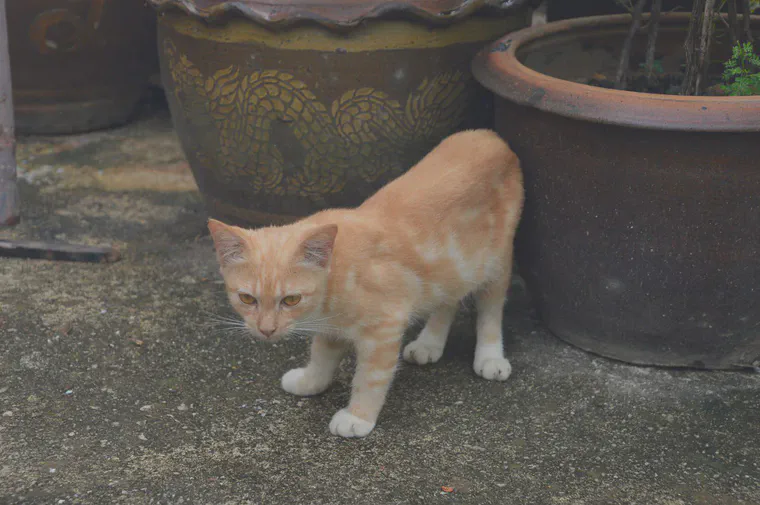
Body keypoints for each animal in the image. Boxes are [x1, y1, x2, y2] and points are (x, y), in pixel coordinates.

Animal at [208, 130, 524, 438]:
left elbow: (370, 377)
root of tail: (489, 135)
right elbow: (321, 356)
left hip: (496, 263)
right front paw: (311, 381)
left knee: (491, 310)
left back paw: (490, 356)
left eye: (291, 300)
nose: (266, 330)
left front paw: (358, 416)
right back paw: (429, 342)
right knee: (447, 299)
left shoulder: (384, 327)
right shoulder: (331, 328)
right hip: (452, 269)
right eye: (247, 299)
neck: (336, 274)